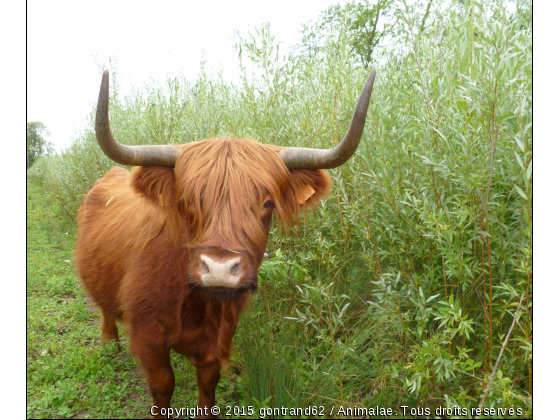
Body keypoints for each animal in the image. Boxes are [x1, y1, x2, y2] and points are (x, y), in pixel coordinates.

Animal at [75, 69, 376, 416]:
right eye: (185, 201)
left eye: (267, 202)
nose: (219, 269)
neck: (195, 304)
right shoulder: (147, 336)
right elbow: (163, 386)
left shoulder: (220, 336)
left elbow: (208, 384)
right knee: (104, 308)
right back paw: (109, 343)